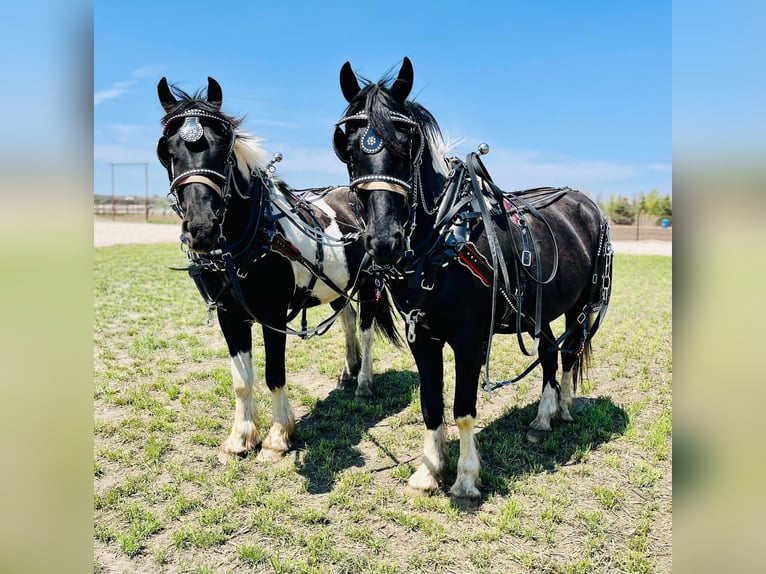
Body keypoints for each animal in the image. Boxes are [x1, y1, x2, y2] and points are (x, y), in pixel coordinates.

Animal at [154, 76, 400, 464]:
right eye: (168, 150)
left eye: (224, 149)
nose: (202, 229)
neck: (248, 241)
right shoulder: (229, 315)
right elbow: (242, 380)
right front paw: (240, 437)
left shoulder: (271, 315)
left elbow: (274, 374)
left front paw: (278, 435)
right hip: (337, 286)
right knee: (346, 322)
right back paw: (349, 371)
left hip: (368, 283)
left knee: (364, 329)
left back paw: (363, 383)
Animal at [332, 57, 616, 500]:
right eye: (348, 147)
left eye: (407, 142)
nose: (384, 241)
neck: (445, 239)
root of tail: (587, 203)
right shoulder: (422, 336)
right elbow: (431, 402)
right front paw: (430, 469)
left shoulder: (469, 339)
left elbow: (463, 407)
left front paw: (465, 478)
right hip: (537, 311)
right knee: (549, 351)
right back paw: (543, 418)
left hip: (582, 305)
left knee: (570, 351)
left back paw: (566, 408)